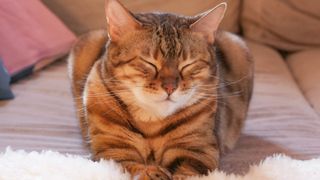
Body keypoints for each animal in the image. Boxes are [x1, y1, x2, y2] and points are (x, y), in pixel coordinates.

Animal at [67, 0, 252, 179]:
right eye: (149, 62)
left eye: (187, 64)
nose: (170, 86)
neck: (151, 122)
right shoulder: (112, 151)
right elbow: (131, 167)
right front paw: (151, 173)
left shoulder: (199, 151)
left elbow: (187, 173)